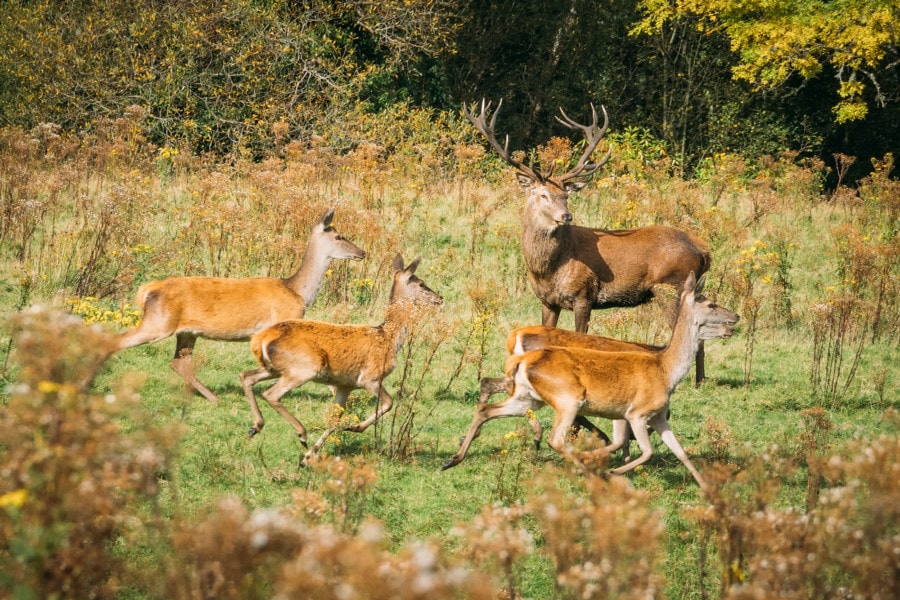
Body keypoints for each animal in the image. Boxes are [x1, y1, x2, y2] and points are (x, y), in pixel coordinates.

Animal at [112, 208, 366, 403]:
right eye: (339, 236)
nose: (362, 252)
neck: (296, 291)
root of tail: (148, 289)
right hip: (158, 323)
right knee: (118, 340)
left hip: (186, 332)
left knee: (179, 363)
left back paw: (213, 398)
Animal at [239, 253, 443, 465]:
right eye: (420, 283)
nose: (440, 298)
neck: (388, 339)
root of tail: (261, 339)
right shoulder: (370, 377)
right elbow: (389, 403)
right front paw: (354, 427)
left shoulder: (345, 385)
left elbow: (333, 419)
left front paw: (308, 457)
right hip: (303, 368)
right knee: (271, 393)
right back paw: (301, 434)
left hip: (273, 368)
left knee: (246, 376)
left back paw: (255, 427)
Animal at [442, 272, 739, 492]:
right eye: (710, 304)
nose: (734, 318)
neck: (665, 370)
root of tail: (519, 352)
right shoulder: (635, 412)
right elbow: (645, 451)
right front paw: (612, 469)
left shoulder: (654, 416)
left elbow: (680, 451)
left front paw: (707, 489)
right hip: (567, 398)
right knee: (555, 439)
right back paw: (585, 466)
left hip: (527, 397)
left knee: (487, 408)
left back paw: (453, 458)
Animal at [464, 99, 713, 382]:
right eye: (542, 194)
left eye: (566, 196)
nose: (566, 216)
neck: (548, 269)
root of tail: (703, 251)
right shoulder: (547, 301)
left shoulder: (584, 295)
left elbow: (580, 338)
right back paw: (699, 380)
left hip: (673, 286)